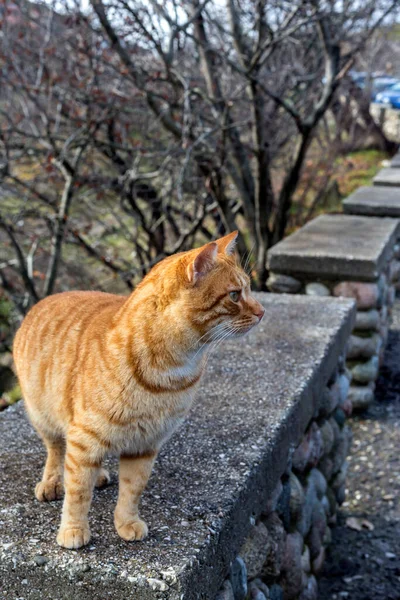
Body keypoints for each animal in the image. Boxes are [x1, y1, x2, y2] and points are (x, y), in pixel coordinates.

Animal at [12, 232, 264, 552]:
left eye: (249, 290)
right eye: (234, 295)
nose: (262, 312)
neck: (169, 372)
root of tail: (45, 299)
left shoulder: (145, 444)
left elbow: (132, 490)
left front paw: (126, 522)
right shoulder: (85, 436)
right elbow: (78, 492)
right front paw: (73, 528)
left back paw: (99, 475)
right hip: (43, 417)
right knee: (57, 451)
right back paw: (53, 481)